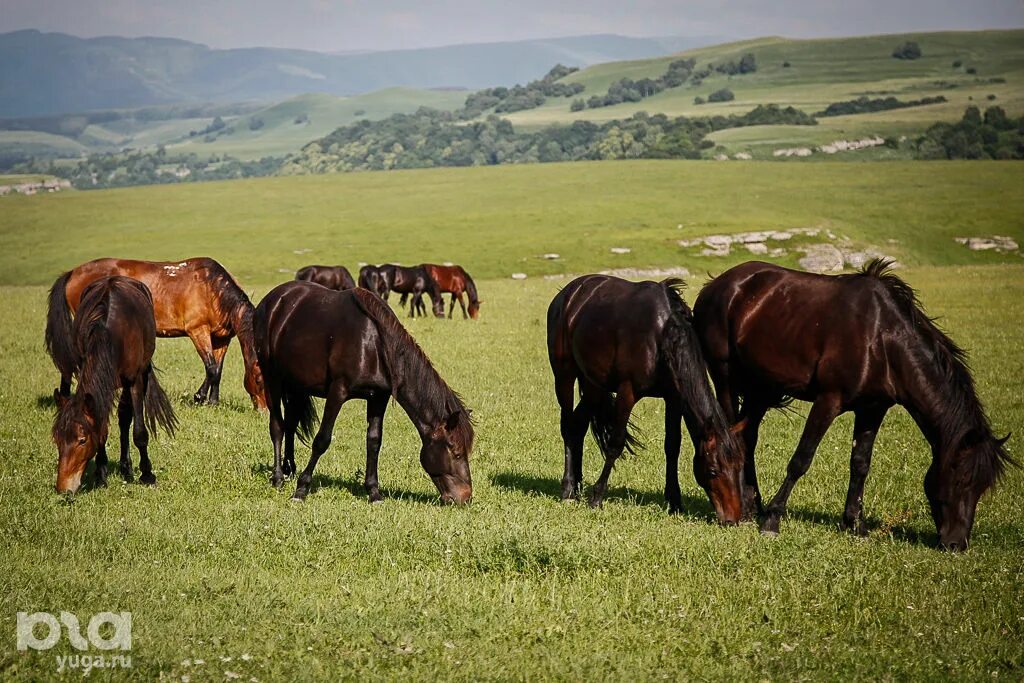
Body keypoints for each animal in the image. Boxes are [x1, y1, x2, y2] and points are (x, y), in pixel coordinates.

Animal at [45, 254, 266, 405]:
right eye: (259, 379)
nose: (264, 410)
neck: (212, 290)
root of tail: (72, 273)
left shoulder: (221, 338)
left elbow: (217, 371)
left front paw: (213, 402)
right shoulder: (198, 331)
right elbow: (210, 368)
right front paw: (198, 397)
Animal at [50, 274, 178, 493]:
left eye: (82, 440)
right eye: (58, 439)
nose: (63, 488)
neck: (109, 333)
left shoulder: (134, 381)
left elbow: (139, 431)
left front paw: (147, 474)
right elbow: (102, 427)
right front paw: (101, 476)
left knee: (126, 417)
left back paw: (129, 468)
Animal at [253, 280, 473, 505]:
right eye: (455, 452)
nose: (465, 497)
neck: (377, 346)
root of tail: (273, 299)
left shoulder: (378, 398)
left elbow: (374, 441)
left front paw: (374, 491)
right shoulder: (337, 392)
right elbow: (322, 440)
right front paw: (301, 489)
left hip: (296, 384)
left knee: (290, 424)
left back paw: (289, 470)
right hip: (272, 376)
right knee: (278, 426)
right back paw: (278, 477)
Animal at [548, 274, 749, 524]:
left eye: (740, 465)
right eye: (713, 471)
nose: (733, 518)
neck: (663, 335)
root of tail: (567, 294)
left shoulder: (674, 398)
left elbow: (672, 446)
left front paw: (675, 501)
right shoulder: (627, 392)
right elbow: (615, 444)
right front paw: (597, 497)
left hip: (594, 384)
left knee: (578, 424)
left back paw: (576, 485)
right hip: (564, 374)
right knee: (567, 424)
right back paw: (567, 488)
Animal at [692, 258, 1011, 548]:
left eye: (982, 487)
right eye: (961, 481)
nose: (956, 544)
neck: (882, 340)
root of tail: (716, 285)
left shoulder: (872, 409)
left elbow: (860, 464)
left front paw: (855, 523)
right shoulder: (828, 401)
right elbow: (801, 460)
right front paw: (773, 519)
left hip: (760, 387)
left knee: (748, 438)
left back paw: (752, 504)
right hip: (725, 378)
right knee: (735, 438)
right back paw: (749, 509)